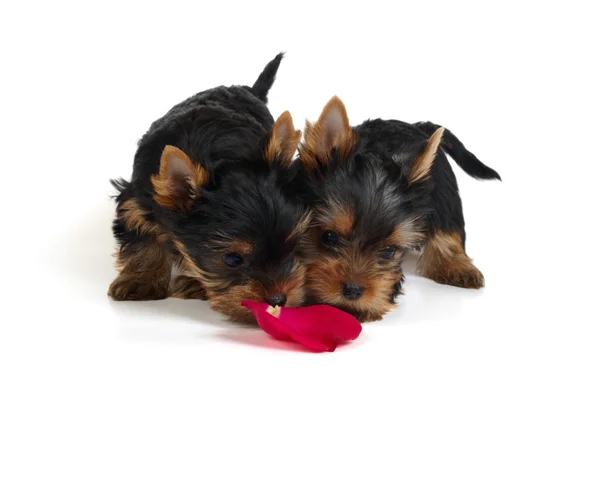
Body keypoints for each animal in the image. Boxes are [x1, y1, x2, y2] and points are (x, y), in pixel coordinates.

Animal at [106, 54, 310, 322]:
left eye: (293, 246)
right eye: (232, 259)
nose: (278, 300)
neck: (219, 156)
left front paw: (195, 283)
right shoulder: (138, 199)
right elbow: (141, 236)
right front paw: (140, 281)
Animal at [296, 96, 502, 322]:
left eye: (389, 251)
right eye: (328, 237)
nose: (353, 290)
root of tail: (418, 125)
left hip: (442, 188)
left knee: (446, 223)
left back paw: (455, 265)